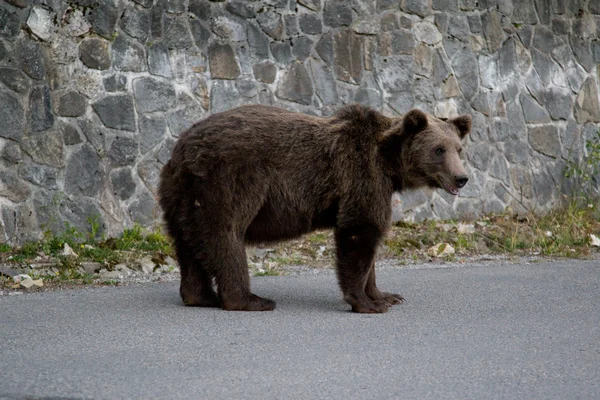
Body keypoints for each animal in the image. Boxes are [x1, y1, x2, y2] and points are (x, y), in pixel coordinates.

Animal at [157, 104, 472, 312]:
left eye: (459, 149)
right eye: (439, 149)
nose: (462, 177)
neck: (389, 163)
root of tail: (183, 149)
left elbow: (370, 242)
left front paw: (386, 295)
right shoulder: (361, 174)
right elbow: (360, 230)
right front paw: (366, 303)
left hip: (178, 194)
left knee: (187, 242)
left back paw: (201, 296)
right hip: (229, 179)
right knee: (225, 234)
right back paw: (250, 299)